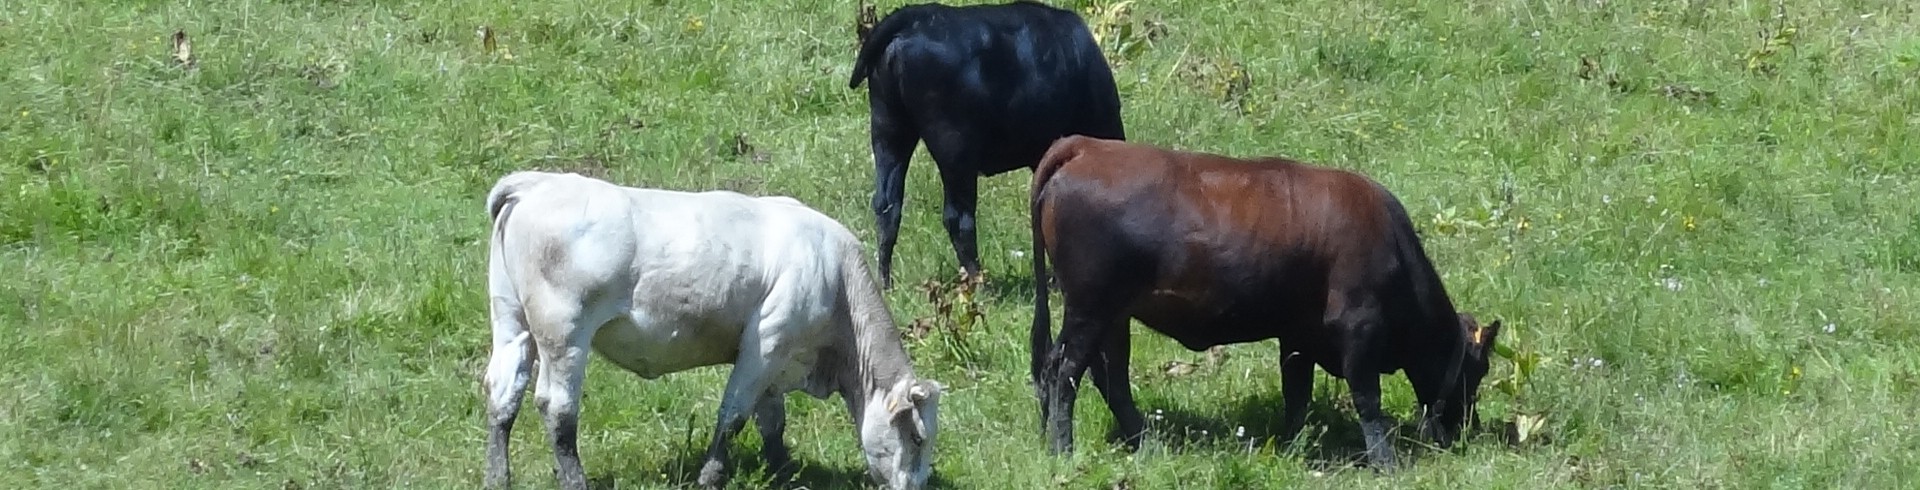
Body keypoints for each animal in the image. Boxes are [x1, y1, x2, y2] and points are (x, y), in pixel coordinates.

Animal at [483, 171, 940, 490]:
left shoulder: (779, 358)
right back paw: (576, 480)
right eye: (918, 438)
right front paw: (712, 476)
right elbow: (733, 414)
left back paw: (498, 478)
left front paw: (785, 472)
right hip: (564, 334)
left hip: (511, 321)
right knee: (557, 408)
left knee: (503, 393)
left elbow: (772, 422)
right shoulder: (767, 341)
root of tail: (537, 182)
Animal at [844, 0, 1121, 286]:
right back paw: (979, 282)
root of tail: (914, 17)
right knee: (958, 217)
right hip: (954, 148)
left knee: (888, 206)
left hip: (889, 130)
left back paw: (886, 282)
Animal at [1036, 135, 1497, 468]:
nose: (1465, 430)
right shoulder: (1358, 327)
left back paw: (1143, 441)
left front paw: (1294, 446)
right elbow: (1367, 398)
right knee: (1064, 372)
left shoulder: (1299, 335)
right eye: (1478, 371)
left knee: (1107, 376)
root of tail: (1088, 146)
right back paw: (1063, 448)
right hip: (1091, 307)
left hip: (1113, 315)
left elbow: (1297, 394)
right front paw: (1385, 461)